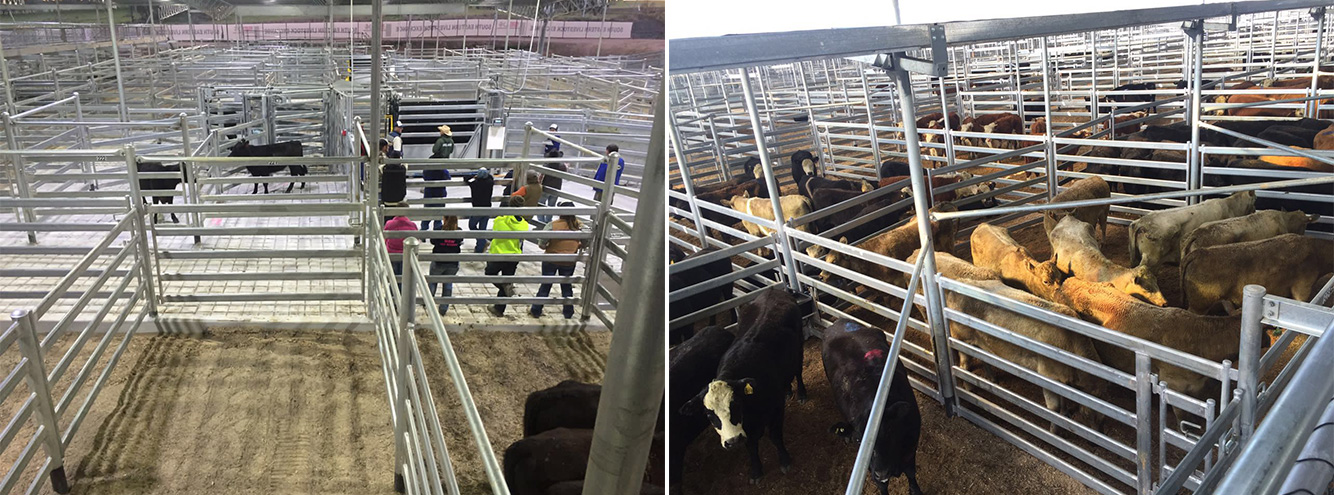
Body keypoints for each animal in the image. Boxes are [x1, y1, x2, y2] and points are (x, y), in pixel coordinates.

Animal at [683, 286, 805, 485]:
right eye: (708, 414)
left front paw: (785, 460)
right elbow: (750, 445)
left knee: (798, 371)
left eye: (735, 405)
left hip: (799, 349)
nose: (733, 441)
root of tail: (772, 290)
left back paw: (801, 393)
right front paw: (756, 471)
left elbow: (775, 436)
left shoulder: (776, 409)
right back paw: (787, 391)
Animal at [816, 320, 923, 495]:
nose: (882, 473)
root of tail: (839, 322)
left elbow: (911, 473)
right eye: (859, 440)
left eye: (889, 432)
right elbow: (882, 486)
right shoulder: (871, 469)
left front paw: (915, 490)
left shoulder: (910, 449)